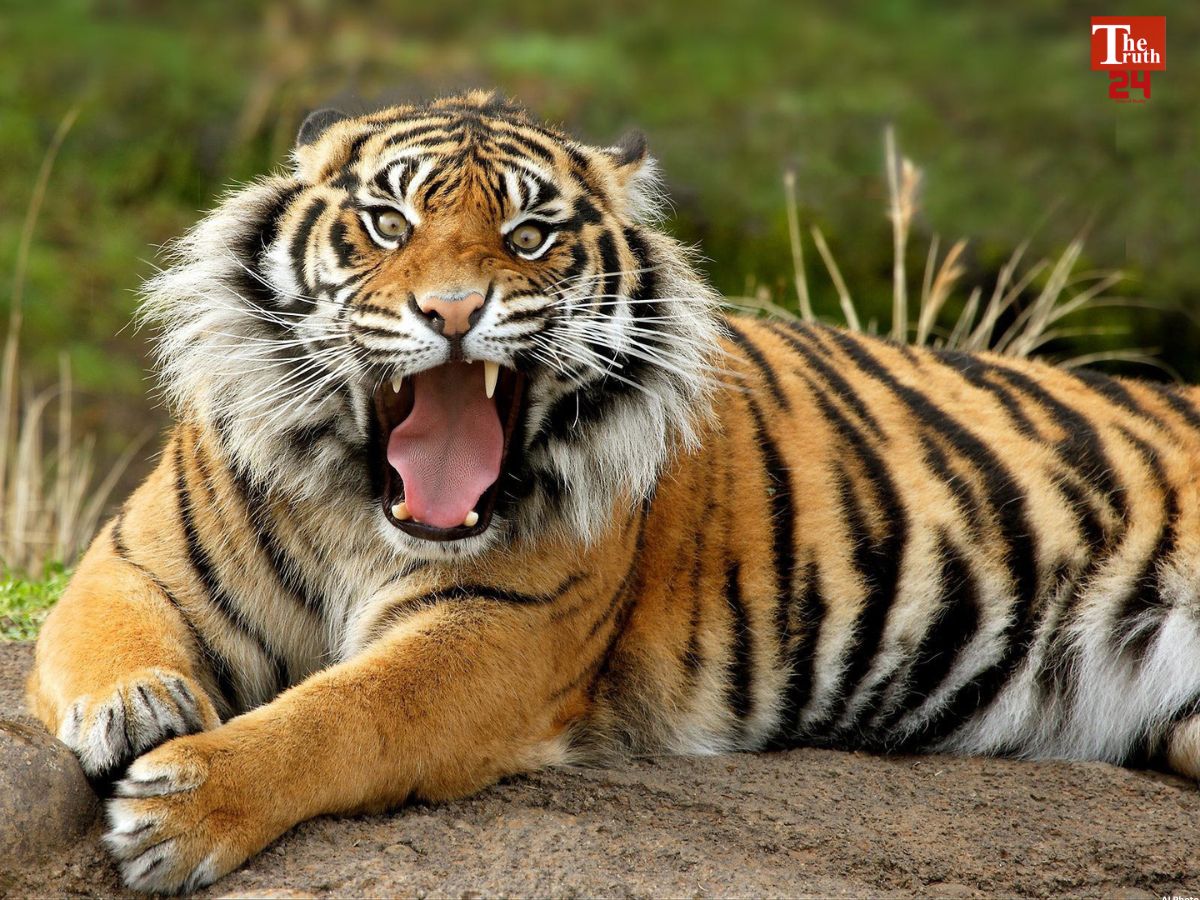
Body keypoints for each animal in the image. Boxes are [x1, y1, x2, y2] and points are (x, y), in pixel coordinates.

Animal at [25, 89, 1200, 893]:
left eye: (529, 236)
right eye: (390, 225)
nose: (454, 312)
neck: (362, 506)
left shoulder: (496, 633)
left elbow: (343, 713)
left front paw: (184, 809)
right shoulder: (132, 560)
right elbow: (104, 637)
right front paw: (138, 709)